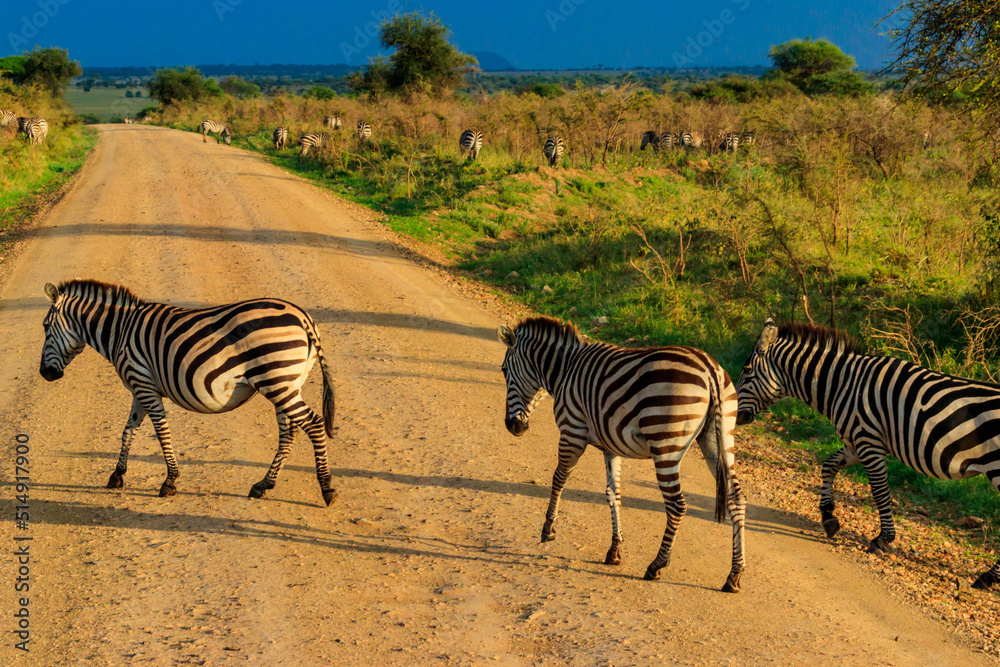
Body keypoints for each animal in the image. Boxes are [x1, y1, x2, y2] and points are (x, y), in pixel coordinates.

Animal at [38, 280, 338, 505]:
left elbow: (161, 431)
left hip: (276, 381)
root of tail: (302, 316)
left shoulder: (143, 384)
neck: (120, 331)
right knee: (289, 432)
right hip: (288, 383)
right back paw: (263, 484)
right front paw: (117, 475)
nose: (45, 374)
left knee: (313, 424)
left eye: (44, 326)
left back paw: (326, 488)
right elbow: (128, 431)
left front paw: (169, 481)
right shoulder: (139, 387)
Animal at [497, 317, 747, 592]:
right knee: (736, 498)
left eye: (504, 371)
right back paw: (734, 575)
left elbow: (558, 479)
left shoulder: (572, 432)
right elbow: (613, 493)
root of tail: (711, 370)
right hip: (720, 440)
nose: (513, 427)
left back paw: (656, 566)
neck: (565, 369)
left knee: (677, 505)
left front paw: (548, 529)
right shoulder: (610, 447)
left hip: (666, 444)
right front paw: (614, 550)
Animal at [736, 320, 1000, 589]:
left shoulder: (868, 441)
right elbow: (828, 465)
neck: (843, 384)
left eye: (746, 371)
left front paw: (882, 539)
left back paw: (987, 578)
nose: (736, 416)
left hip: (996, 468)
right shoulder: (855, 441)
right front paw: (829, 517)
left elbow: (880, 493)